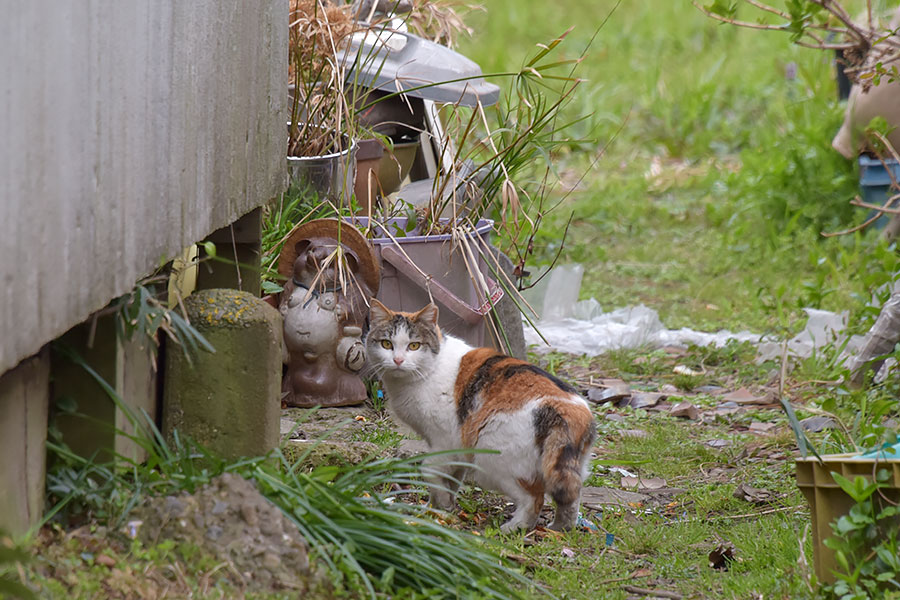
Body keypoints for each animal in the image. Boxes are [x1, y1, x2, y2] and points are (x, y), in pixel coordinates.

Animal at [366, 298, 596, 528]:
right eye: (386, 344)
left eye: (414, 345)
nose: (397, 360)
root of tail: (571, 411)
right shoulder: (458, 446)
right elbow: (451, 479)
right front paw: (437, 508)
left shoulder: (444, 441)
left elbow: (429, 470)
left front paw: (441, 503)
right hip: (565, 465)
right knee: (571, 498)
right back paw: (559, 528)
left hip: (492, 458)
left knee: (534, 498)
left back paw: (514, 528)